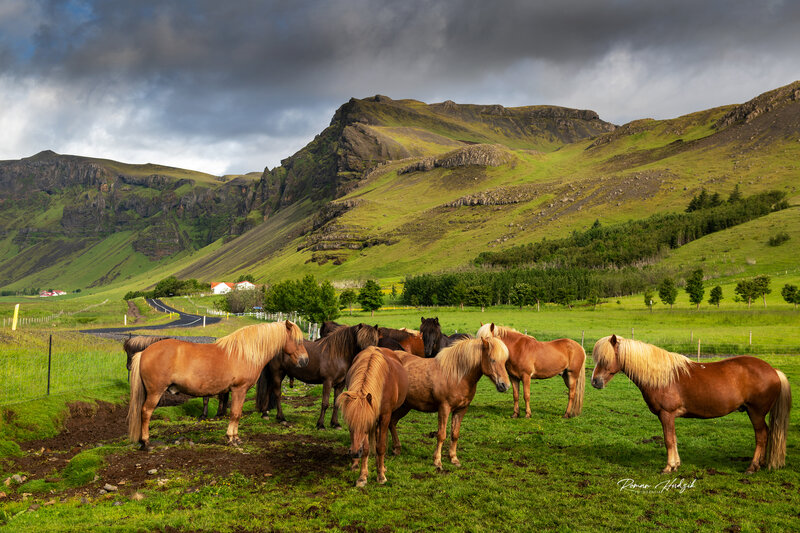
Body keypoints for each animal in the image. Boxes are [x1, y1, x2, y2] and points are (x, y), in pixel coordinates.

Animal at [128, 320, 308, 450]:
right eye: (297, 340)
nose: (305, 360)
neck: (244, 353)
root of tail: (144, 352)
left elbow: (237, 414)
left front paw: (236, 438)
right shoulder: (239, 390)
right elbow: (235, 414)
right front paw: (231, 439)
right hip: (155, 392)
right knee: (146, 412)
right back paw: (146, 442)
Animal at [337, 346, 408, 487]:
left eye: (364, 424)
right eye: (349, 425)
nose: (354, 452)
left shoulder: (384, 417)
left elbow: (380, 446)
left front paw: (381, 475)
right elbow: (365, 448)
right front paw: (362, 477)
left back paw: (381, 466)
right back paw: (356, 464)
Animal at [388, 336, 510, 470]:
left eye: (505, 361)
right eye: (492, 360)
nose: (505, 385)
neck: (457, 376)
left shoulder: (461, 410)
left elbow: (455, 434)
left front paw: (454, 459)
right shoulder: (444, 408)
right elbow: (441, 435)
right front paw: (437, 461)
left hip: (405, 406)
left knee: (392, 423)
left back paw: (397, 449)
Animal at [591, 334, 791, 473]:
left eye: (605, 359)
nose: (595, 382)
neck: (663, 377)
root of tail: (773, 370)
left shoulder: (666, 414)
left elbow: (669, 440)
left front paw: (669, 467)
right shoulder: (670, 416)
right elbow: (674, 439)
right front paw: (676, 464)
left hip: (755, 413)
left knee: (761, 436)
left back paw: (752, 467)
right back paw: (760, 464)